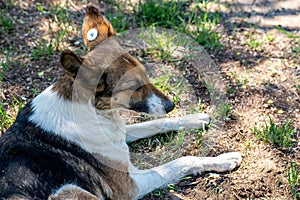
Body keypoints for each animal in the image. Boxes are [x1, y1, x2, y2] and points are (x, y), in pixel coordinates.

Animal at [0, 5, 243, 199]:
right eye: (133, 86)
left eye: (145, 73)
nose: (171, 106)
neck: (95, 111)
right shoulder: (129, 185)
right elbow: (181, 161)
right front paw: (223, 159)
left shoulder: (118, 135)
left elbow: (156, 123)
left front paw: (195, 118)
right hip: (70, 191)